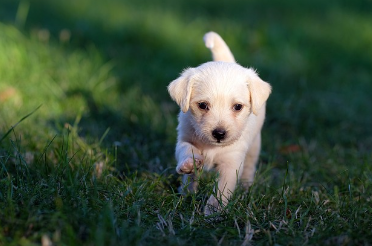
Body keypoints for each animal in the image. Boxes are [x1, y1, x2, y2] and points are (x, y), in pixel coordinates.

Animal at [167, 31, 272, 215]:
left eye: (238, 107)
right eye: (203, 105)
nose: (219, 133)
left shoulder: (232, 163)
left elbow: (222, 189)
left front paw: (213, 211)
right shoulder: (184, 138)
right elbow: (187, 150)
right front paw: (189, 163)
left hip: (254, 146)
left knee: (250, 166)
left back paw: (246, 187)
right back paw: (186, 192)